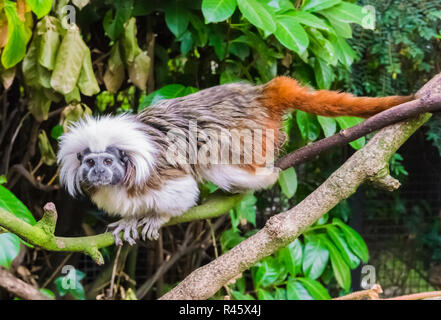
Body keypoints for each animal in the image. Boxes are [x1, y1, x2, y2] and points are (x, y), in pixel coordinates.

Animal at [55, 77, 412, 245]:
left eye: (107, 162)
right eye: (90, 163)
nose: (98, 172)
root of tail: (258, 94)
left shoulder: (158, 173)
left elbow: (183, 193)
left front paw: (156, 218)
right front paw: (130, 221)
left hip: (251, 136)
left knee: (212, 157)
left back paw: (264, 177)